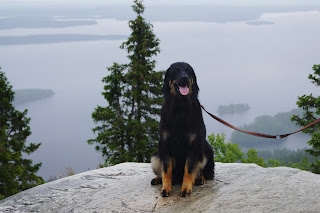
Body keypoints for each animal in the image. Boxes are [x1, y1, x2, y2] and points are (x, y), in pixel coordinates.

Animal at [151, 61, 215, 196]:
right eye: (176, 70)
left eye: (188, 70)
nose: (184, 78)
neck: (180, 107)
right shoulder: (165, 145)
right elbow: (166, 170)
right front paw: (166, 188)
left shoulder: (193, 145)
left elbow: (189, 169)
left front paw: (186, 188)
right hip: (155, 156)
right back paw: (158, 178)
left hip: (205, 150)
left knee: (204, 172)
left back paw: (199, 178)